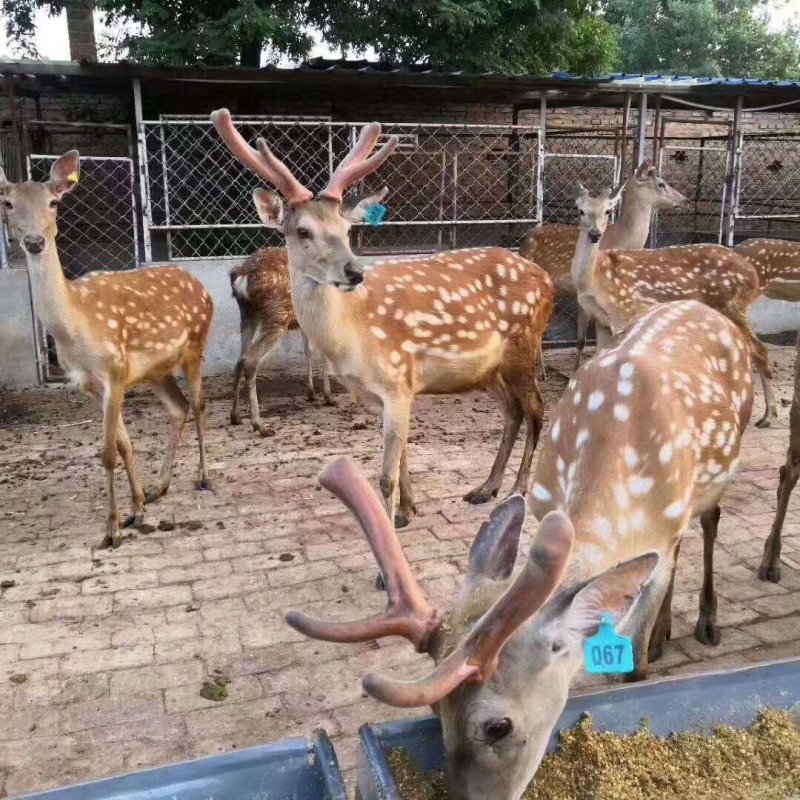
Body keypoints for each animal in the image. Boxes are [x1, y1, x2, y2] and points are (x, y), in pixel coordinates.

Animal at [0, 151, 213, 549]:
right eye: (8, 203)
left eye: (53, 203)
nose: (35, 242)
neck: (75, 326)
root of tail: (199, 284)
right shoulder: (92, 383)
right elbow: (124, 445)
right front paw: (137, 510)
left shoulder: (113, 371)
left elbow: (107, 453)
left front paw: (111, 530)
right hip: (156, 369)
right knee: (178, 408)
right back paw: (159, 487)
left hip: (196, 344)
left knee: (198, 405)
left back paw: (204, 477)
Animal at [229, 246, 333, 437]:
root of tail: (242, 278)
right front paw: (328, 397)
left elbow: (308, 352)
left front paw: (311, 393)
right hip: (277, 316)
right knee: (250, 360)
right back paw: (260, 425)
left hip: (247, 316)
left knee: (239, 360)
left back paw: (235, 416)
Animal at [287, 299, 753, 800]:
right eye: (436, 713)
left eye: (497, 726)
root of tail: (704, 307)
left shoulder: (661, 540)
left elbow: (634, 664)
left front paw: (646, 658)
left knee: (709, 522)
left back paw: (705, 623)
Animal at [520, 162, 689, 370]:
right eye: (661, 183)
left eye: (608, 211)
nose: (685, 200)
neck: (622, 239)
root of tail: (523, 242)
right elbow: (582, 340)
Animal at [571, 184, 776, 428]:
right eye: (581, 211)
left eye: (608, 211)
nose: (595, 234)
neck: (595, 279)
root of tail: (753, 275)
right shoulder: (600, 319)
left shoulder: (625, 310)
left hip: (731, 304)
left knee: (759, 349)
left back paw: (766, 416)